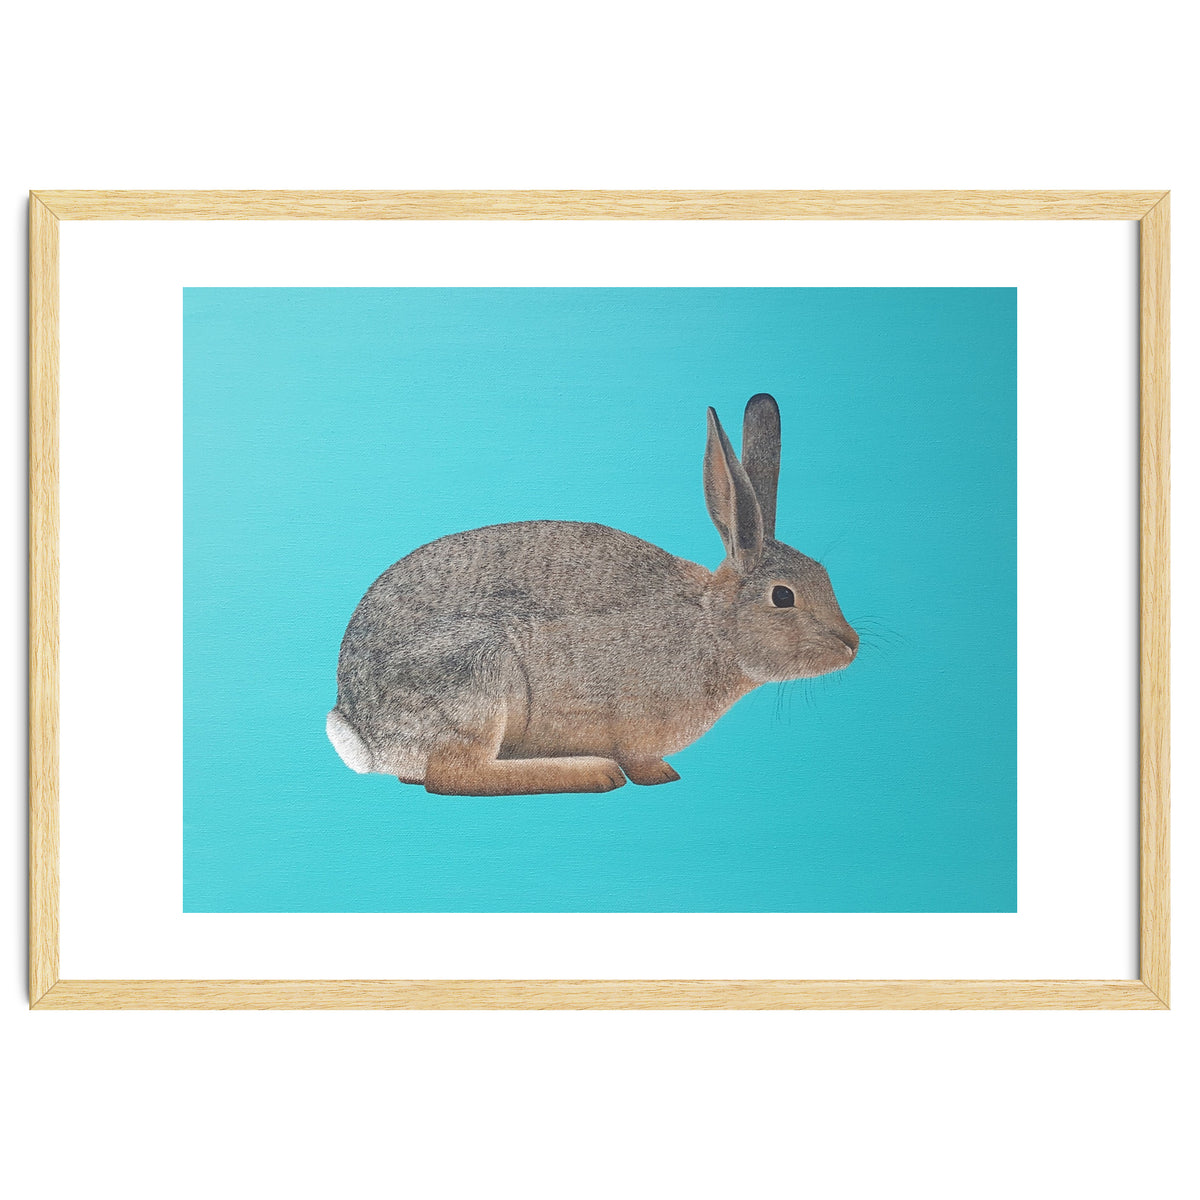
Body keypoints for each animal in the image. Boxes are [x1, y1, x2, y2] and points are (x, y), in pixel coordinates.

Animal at [327, 393, 858, 794]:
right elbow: (640, 760)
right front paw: (658, 775)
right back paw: (593, 772)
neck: (713, 625)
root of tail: (362, 731)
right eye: (783, 597)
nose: (851, 645)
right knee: (454, 775)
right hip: (476, 674)